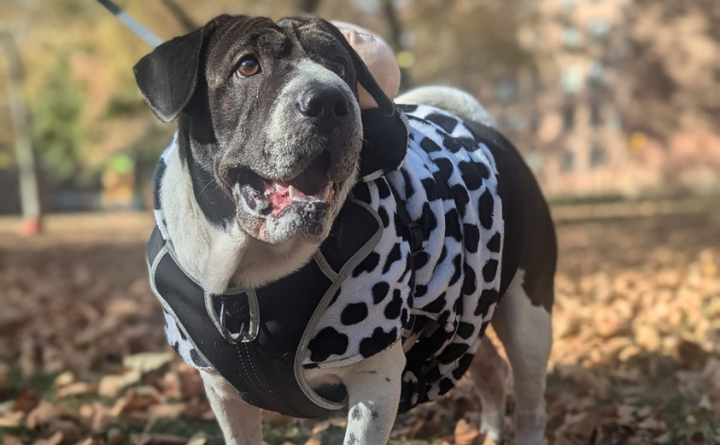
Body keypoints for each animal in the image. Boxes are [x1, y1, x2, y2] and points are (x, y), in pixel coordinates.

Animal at [136, 13, 556, 444]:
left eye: (341, 67)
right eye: (247, 66)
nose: (328, 100)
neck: (253, 268)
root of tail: (483, 129)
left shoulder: (374, 380)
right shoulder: (223, 392)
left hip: (529, 321)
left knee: (530, 399)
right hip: (464, 312)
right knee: (490, 368)